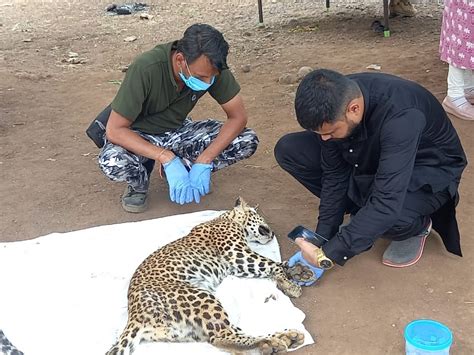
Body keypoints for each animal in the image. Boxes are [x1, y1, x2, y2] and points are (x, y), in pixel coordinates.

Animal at [106, 197, 304, 355]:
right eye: (260, 216)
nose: (272, 232)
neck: (228, 218)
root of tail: (134, 317)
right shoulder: (237, 255)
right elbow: (269, 263)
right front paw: (290, 284)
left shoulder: (237, 266)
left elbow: (272, 265)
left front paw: (297, 271)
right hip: (202, 298)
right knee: (223, 336)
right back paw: (271, 343)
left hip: (189, 329)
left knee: (227, 337)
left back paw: (287, 337)